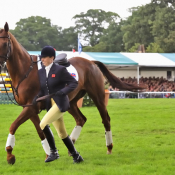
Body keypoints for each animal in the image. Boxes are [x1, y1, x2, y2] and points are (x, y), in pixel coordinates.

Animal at [0, 22, 145, 165]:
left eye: (5, 44)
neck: (25, 72)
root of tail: (91, 62)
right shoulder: (29, 108)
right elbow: (41, 131)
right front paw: (49, 153)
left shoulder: (32, 107)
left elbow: (13, 126)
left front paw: (9, 154)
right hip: (71, 102)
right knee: (81, 119)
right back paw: (72, 147)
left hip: (97, 97)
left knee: (105, 119)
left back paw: (108, 148)